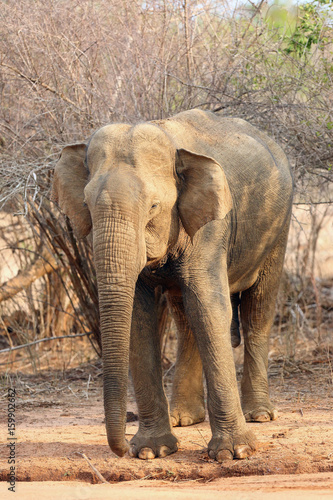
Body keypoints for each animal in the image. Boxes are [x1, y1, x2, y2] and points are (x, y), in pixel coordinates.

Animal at [50, 111, 292, 462]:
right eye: (86, 203)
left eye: (153, 206)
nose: (123, 448)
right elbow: (140, 318)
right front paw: (151, 452)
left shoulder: (210, 227)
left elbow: (209, 308)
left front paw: (235, 453)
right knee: (185, 317)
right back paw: (184, 418)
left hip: (279, 226)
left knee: (257, 309)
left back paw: (259, 415)